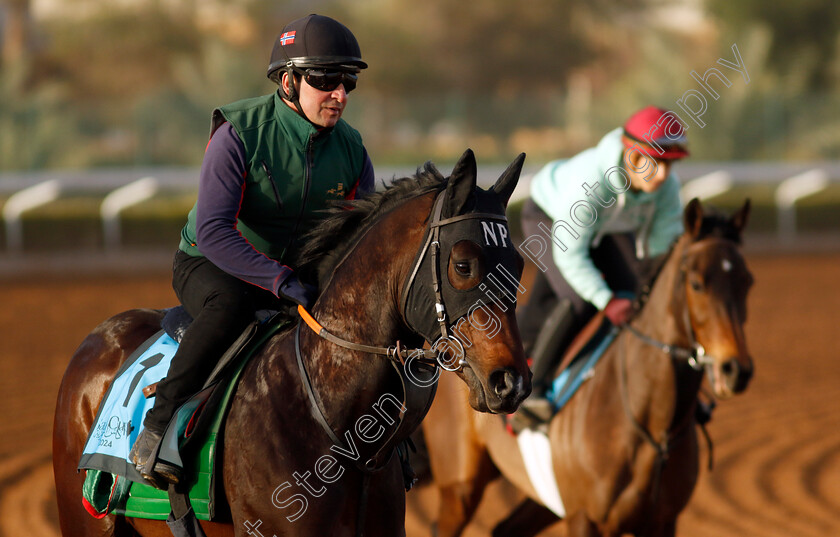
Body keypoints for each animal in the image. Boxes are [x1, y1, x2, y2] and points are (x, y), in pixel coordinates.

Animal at [420, 198, 756, 536]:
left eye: (747, 281)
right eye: (697, 284)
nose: (736, 370)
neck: (652, 425)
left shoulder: (662, 521)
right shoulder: (585, 518)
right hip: (460, 487)